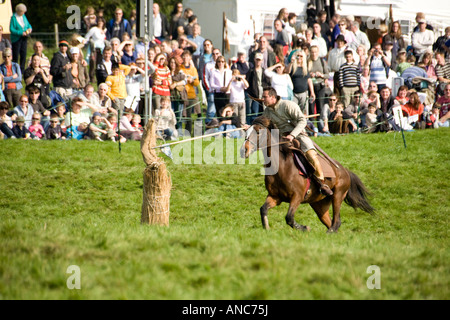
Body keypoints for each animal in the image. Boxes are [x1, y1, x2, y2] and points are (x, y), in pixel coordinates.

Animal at [241, 116, 374, 231]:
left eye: (258, 132)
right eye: (246, 132)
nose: (244, 150)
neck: (281, 166)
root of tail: (345, 170)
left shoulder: (297, 196)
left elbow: (289, 217)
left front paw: (305, 228)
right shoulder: (275, 197)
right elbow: (263, 209)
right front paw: (267, 228)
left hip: (338, 195)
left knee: (336, 222)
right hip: (319, 204)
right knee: (330, 222)